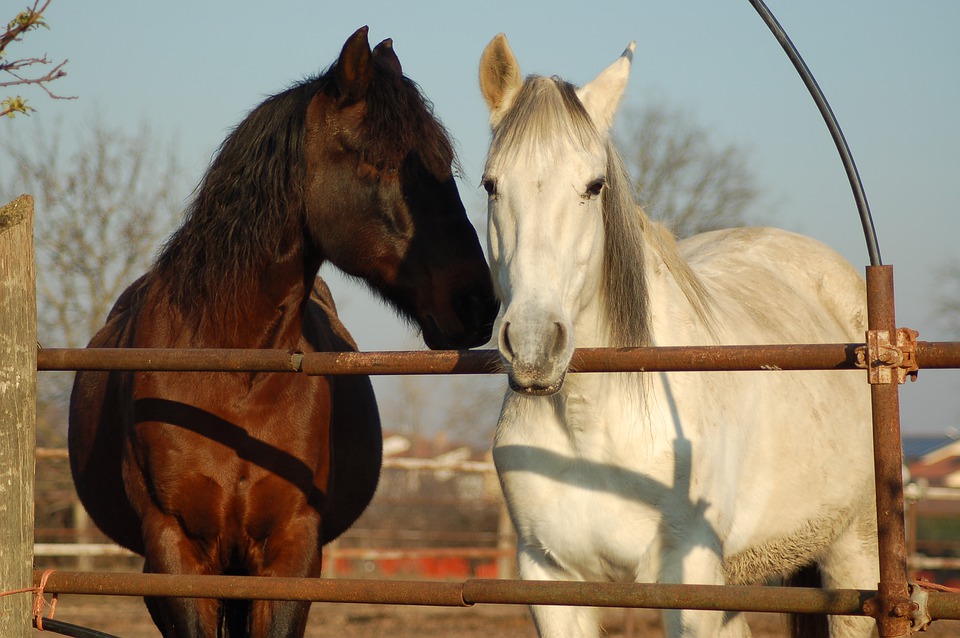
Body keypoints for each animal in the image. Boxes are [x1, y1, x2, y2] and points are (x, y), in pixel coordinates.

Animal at [478, 35, 876, 638]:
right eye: (490, 185)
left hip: (854, 555)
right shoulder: (550, 579)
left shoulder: (686, 584)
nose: (532, 346)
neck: (592, 424)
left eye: (594, 186)